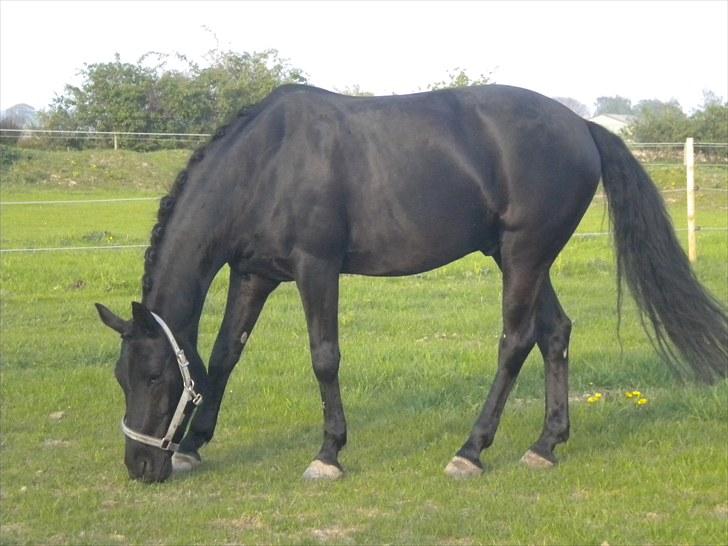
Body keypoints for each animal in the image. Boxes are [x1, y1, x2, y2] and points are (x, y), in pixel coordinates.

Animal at [96, 84, 727, 483]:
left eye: (153, 377)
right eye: (119, 378)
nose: (140, 468)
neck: (266, 163)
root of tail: (582, 126)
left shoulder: (316, 268)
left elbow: (324, 356)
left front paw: (329, 453)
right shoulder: (255, 274)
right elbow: (225, 354)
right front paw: (194, 446)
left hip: (524, 256)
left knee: (515, 342)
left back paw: (471, 451)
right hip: (520, 258)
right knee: (555, 334)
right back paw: (545, 445)